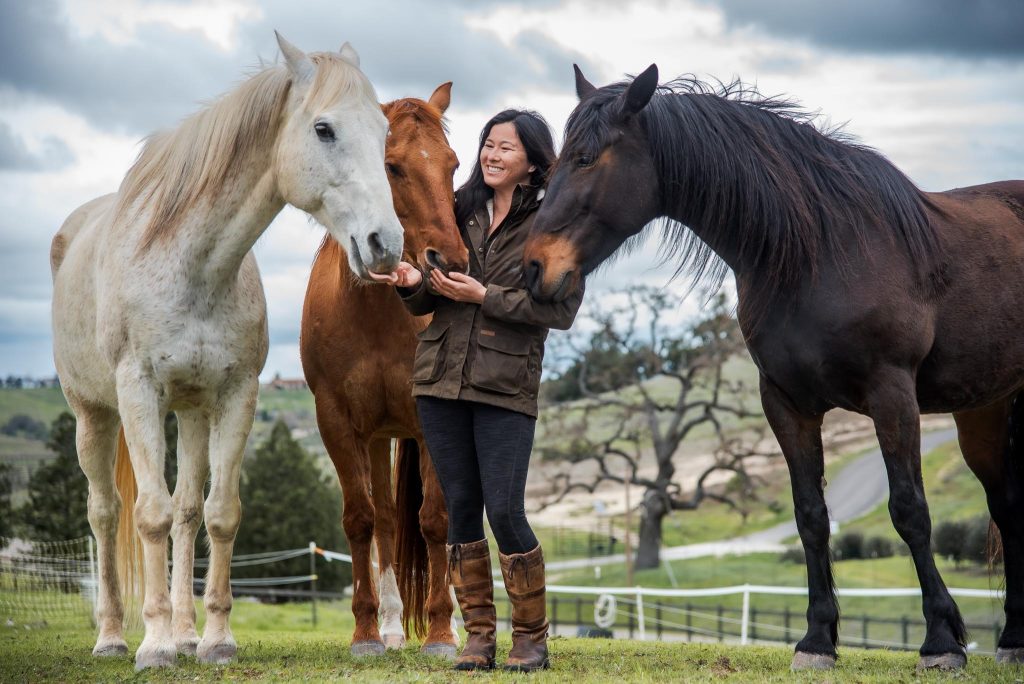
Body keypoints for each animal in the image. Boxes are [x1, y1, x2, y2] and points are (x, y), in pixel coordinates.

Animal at [50, 34, 404, 670]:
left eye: (384, 131)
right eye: (324, 129)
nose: (385, 244)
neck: (190, 266)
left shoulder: (236, 395)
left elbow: (218, 514)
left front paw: (213, 640)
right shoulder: (137, 393)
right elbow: (149, 515)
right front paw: (155, 647)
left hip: (191, 413)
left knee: (188, 510)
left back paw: (186, 634)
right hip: (94, 415)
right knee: (106, 513)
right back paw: (114, 637)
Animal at [300, 85, 468, 657]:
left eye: (453, 165)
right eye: (392, 166)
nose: (452, 261)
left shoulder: (429, 419)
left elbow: (436, 520)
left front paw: (440, 632)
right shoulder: (336, 421)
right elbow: (363, 520)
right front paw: (367, 630)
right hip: (377, 437)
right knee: (389, 523)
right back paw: (394, 624)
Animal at [523, 64, 1024, 671]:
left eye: (586, 158)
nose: (533, 268)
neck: (824, 251)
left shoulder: (892, 396)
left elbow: (909, 510)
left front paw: (941, 640)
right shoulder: (787, 404)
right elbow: (810, 516)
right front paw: (817, 640)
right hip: (984, 412)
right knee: (1007, 507)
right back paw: (1013, 638)